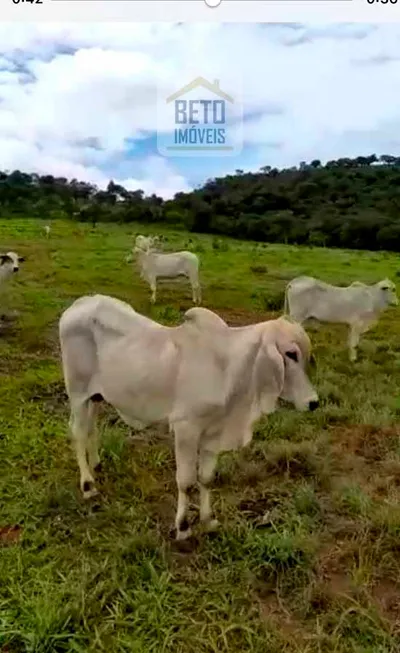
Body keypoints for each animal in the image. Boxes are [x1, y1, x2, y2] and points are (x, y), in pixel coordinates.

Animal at [57, 296, 318, 540]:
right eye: (290, 354)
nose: (313, 402)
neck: (227, 368)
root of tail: (81, 304)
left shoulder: (213, 433)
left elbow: (206, 478)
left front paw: (208, 520)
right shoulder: (186, 429)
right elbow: (186, 481)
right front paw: (182, 527)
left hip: (95, 396)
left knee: (91, 428)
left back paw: (96, 465)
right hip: (77, 393)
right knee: (78, 432)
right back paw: (88, 484)